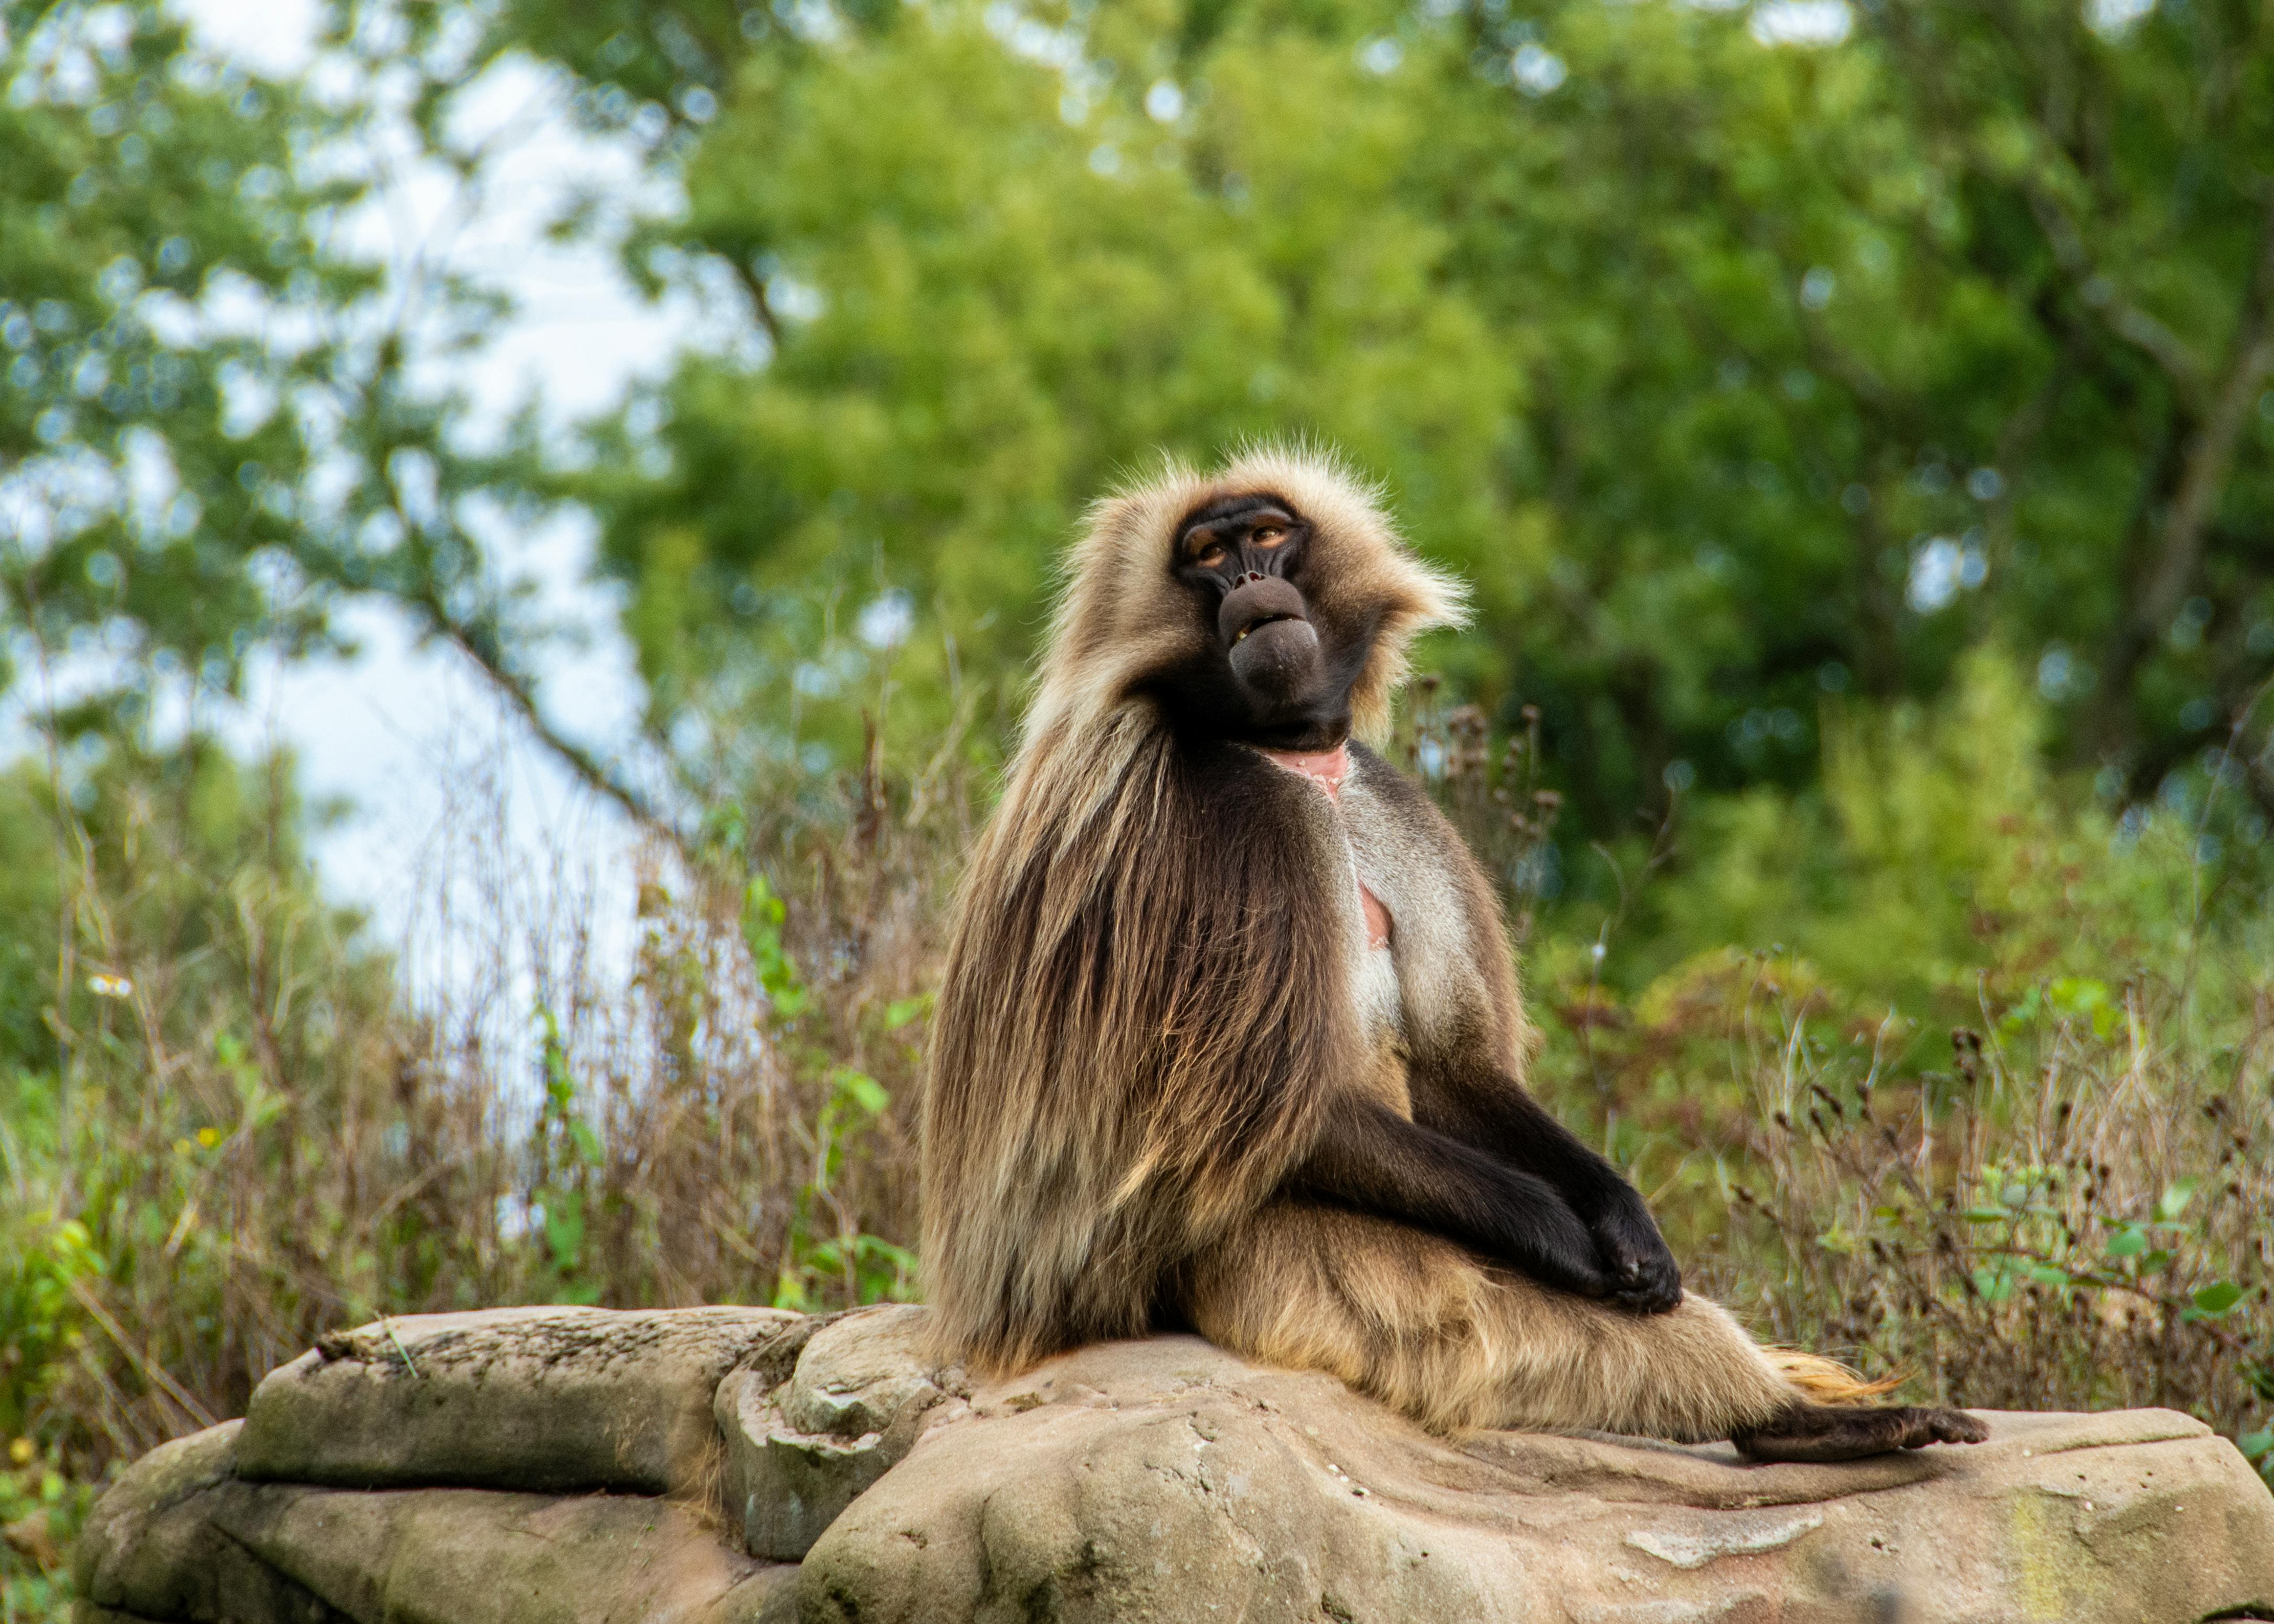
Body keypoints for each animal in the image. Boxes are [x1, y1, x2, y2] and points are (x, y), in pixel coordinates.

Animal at [919, 446, 1987, 1462]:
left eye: (1266, 534)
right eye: (1206, 554)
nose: (1250, 582)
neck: (1288, 755)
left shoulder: (1391, 802)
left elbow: (1451, 1073)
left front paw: (1623, 1218)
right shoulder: (1211, 834)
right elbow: (1272, 1105)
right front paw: (1558, 1231)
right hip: (1270, 1274)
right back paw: (1789, 1421)